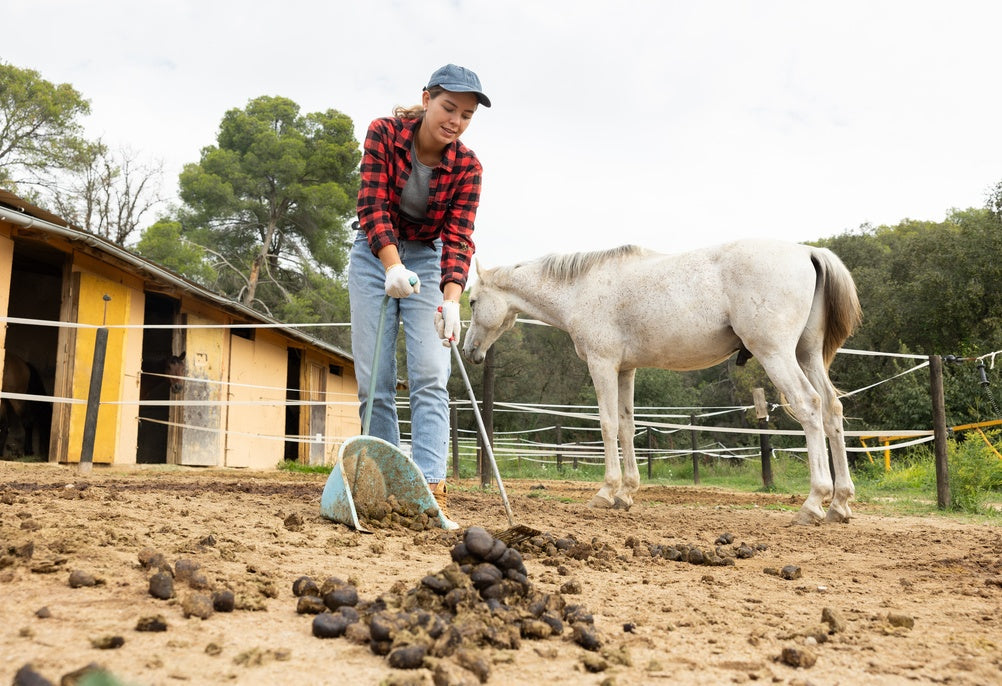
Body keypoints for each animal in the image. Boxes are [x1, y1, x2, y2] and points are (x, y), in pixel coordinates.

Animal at [462, 239, 862, 526]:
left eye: (473, 300)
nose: (469, 350)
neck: (580, 288)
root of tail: (808, 251)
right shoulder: (626, 370)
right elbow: (627, 426)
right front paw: (626, 494)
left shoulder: (603, 364)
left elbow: (607, 425)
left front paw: (605, 492)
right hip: (807, 356)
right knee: (832, 410)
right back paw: (839, 504)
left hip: (776, 354)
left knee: (809, 406)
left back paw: (814, 503)